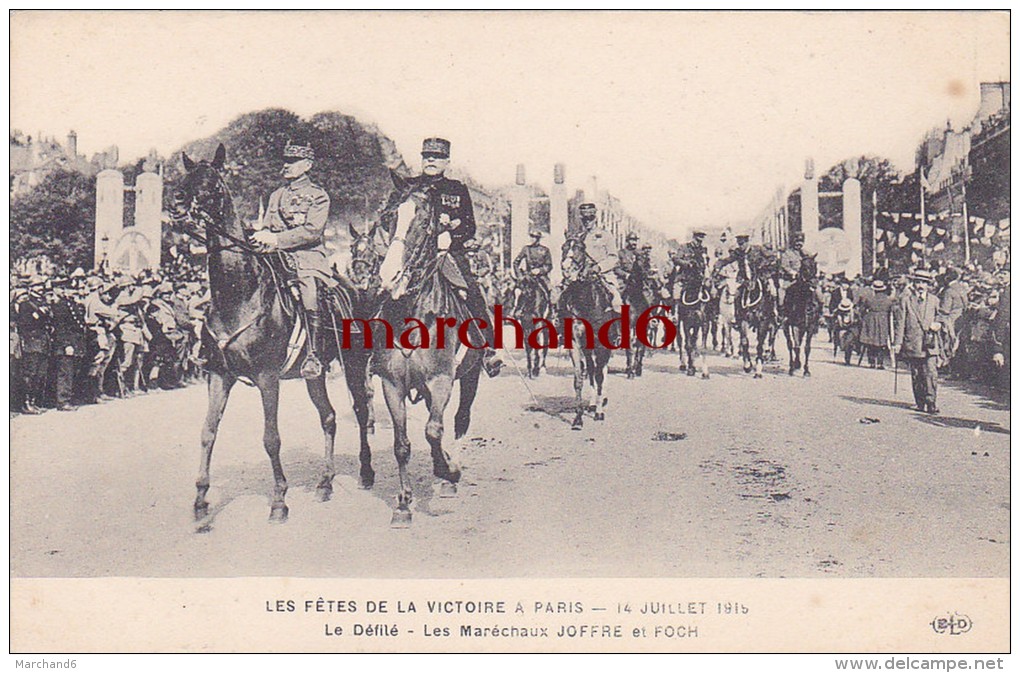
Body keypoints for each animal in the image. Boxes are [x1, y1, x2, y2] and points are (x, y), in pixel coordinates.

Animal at [167, 144, 375, 526]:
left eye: (211, 182)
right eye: (186, 178)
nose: (176, 204)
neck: (239, 293)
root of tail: (356, 287)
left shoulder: (267, 377)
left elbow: (271, 438)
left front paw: (279, 501)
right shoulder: (218, 374)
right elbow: (207, 433)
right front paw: (201, 502)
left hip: (354, 365)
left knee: (361, 410)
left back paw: (366, 472)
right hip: (315, 374)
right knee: (329, 417)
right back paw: (325, 482)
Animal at [369, 172, 483, 526]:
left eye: (422, 220)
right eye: (389, 218)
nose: (389, 275)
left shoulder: (441, 378)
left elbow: (433, 431)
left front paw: (447, 470)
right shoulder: (391, 383)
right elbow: (402, 444)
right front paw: (404, 504)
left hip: (471, 376)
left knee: (460, 419)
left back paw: (450, 471)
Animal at [558, 236, 612, 426]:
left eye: (580, 248)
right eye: (563, 247)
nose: (567, 269)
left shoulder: (602, 345)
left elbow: (600, 377)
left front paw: (599, 412)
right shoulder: (575, 343)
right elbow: (579, 379)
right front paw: (578, 418)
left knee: (601, 371)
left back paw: (600, 403)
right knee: (591, 368)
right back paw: (592, 403)